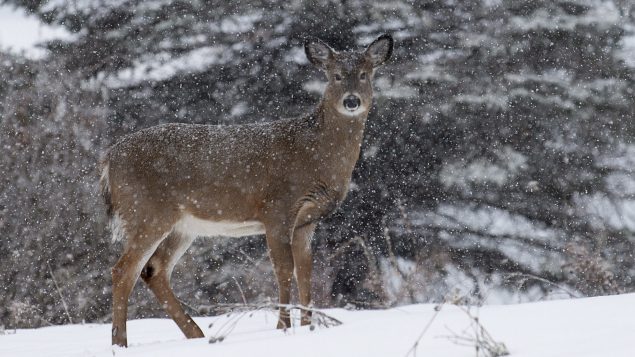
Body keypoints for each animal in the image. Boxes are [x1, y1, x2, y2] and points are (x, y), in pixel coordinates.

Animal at [100, 32, 392, 344]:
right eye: (335, 75)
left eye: (364, 74)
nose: (352, 101)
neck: (315, 154)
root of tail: (109, 158)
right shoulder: (277, 208)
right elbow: (284, 269)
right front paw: (282, 327)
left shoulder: (307, 220)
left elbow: (306, 271)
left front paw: (308, 326)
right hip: (146, 212)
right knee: (123, 270)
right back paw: (120, 342)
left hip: (182, 226)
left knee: (154, 270)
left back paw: (196, 334)